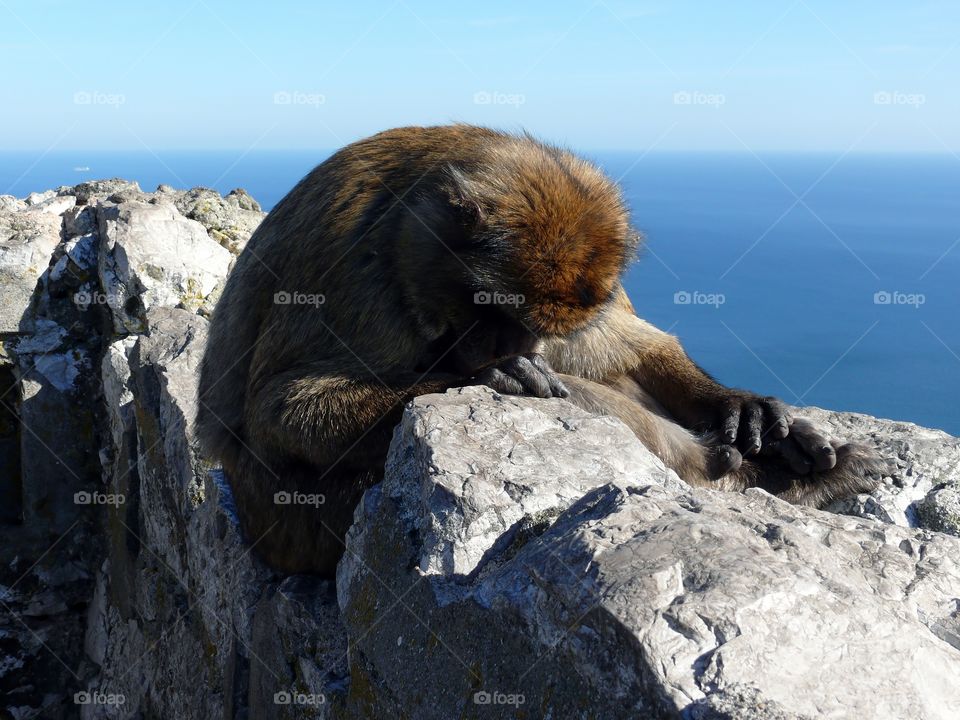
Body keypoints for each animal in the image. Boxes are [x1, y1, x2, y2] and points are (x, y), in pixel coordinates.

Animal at [197, 122, 884, 572]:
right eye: (492, 306)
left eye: (536, 322)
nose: (516, 343)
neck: (407, 240)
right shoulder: (357, 272)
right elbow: (280, 411)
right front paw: (492, 377)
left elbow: (630, 348)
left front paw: (742, 406)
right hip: (303, 526)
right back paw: (738, 477)